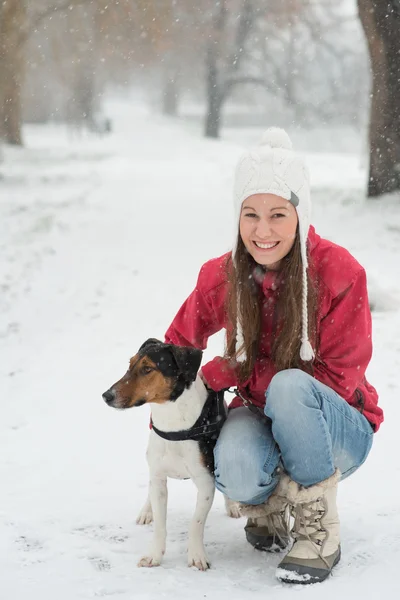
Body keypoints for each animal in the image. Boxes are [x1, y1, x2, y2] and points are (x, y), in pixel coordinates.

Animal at [103, 340, 241, 568]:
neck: (173, 424)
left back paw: (232, 505)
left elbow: (196, 523)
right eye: (130, 364)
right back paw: (146, 511)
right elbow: (160, 524)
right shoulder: (158, 477)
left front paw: (197, 555)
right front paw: (154, 555)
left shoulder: (205, 482)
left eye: (147, 369)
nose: (106, 396)